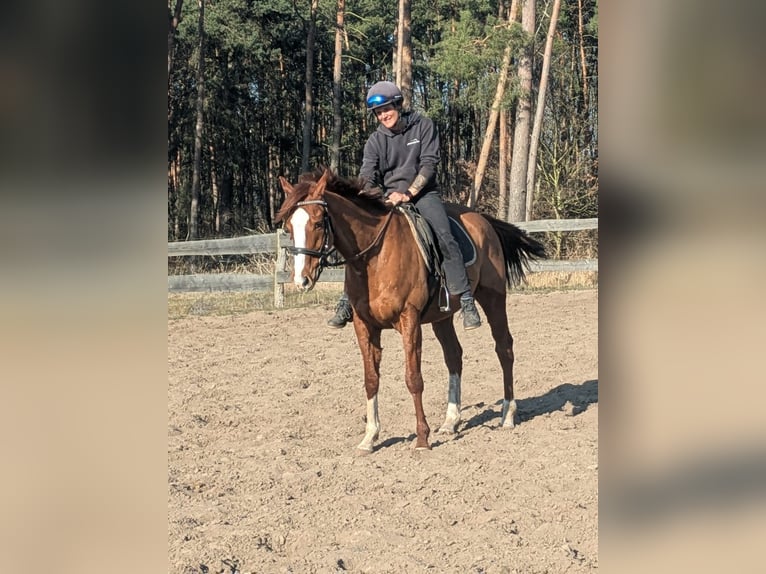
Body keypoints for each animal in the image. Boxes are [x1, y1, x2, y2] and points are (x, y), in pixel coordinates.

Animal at [276, 169, 544, 452]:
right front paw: (370, 437)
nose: (301, 280)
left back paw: (508, 414)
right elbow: (371, 378)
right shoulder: (364, 325)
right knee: (454, 356)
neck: (374, 258)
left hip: (493, 298)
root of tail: (482, 219)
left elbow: (413, 378)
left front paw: (422, 438)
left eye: (318, 223)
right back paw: (450, 421)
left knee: (504, 348)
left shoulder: (410, 319)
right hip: (442, 316)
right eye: (289, 227)